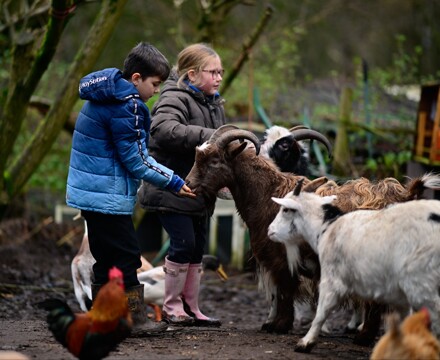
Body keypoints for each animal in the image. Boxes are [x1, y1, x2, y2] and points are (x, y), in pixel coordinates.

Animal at [266, 180, 440, 352]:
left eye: (285, 209)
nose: (270, 231)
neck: (329, 226)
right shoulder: (397, 295)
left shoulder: (331, 279)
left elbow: (322, 311)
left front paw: (306, 342)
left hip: (420, 283)